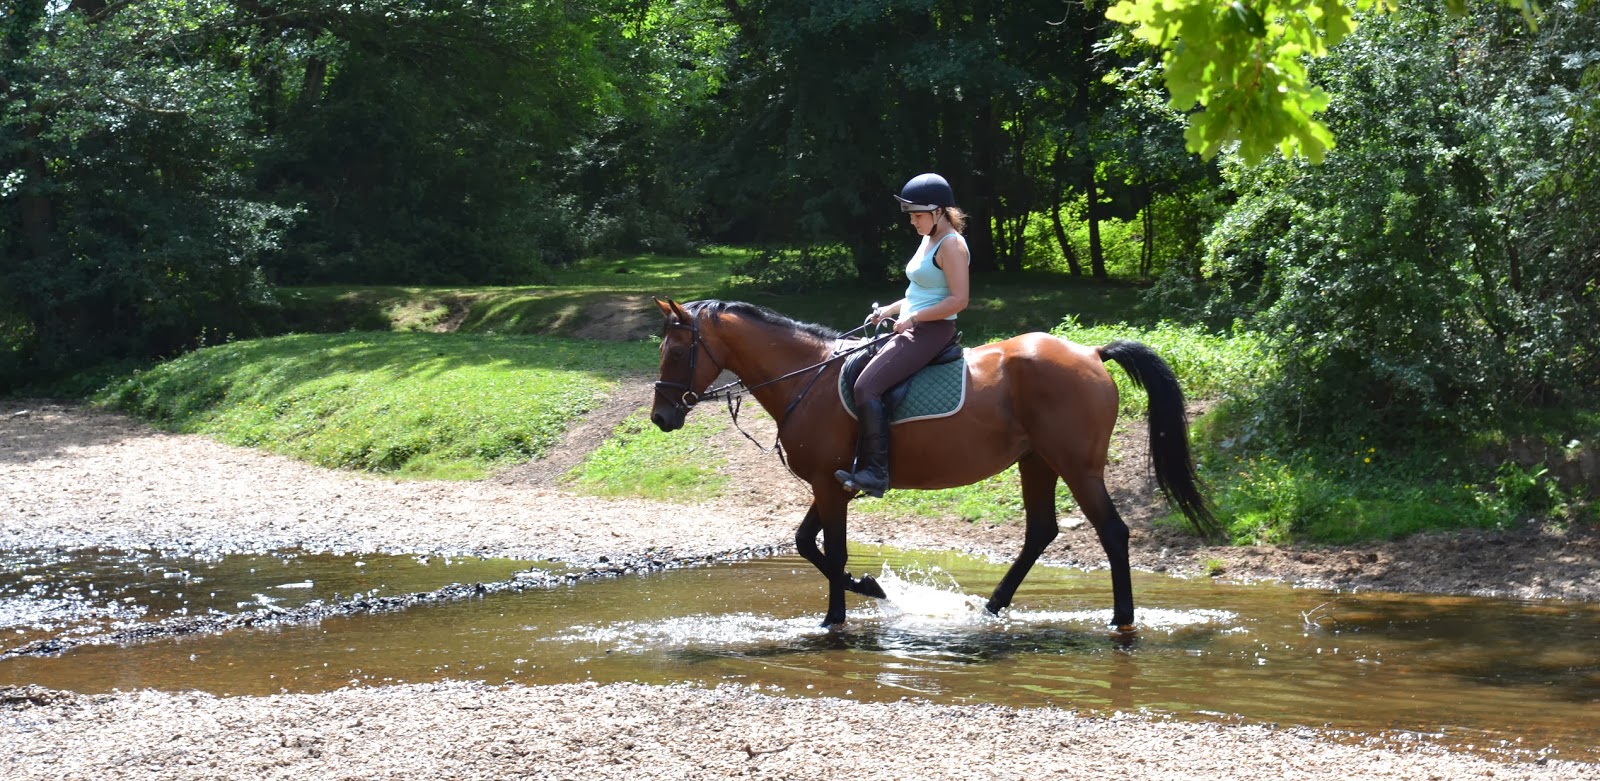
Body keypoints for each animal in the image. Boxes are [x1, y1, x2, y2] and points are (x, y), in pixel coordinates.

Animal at [643, 296, 1216, 630]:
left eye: (676, 350)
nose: (661, 416)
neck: (808, 376)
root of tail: (1091, 353)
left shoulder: (830, 486)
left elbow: (832, 548)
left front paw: (836, 618)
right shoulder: (832, 483)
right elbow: (807, 543)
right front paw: (870, 588)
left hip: (1077, 466)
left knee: (1112, 532)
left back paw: (1121, 621)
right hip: (1037, 461)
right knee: (1040, 532)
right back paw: (990, 608)